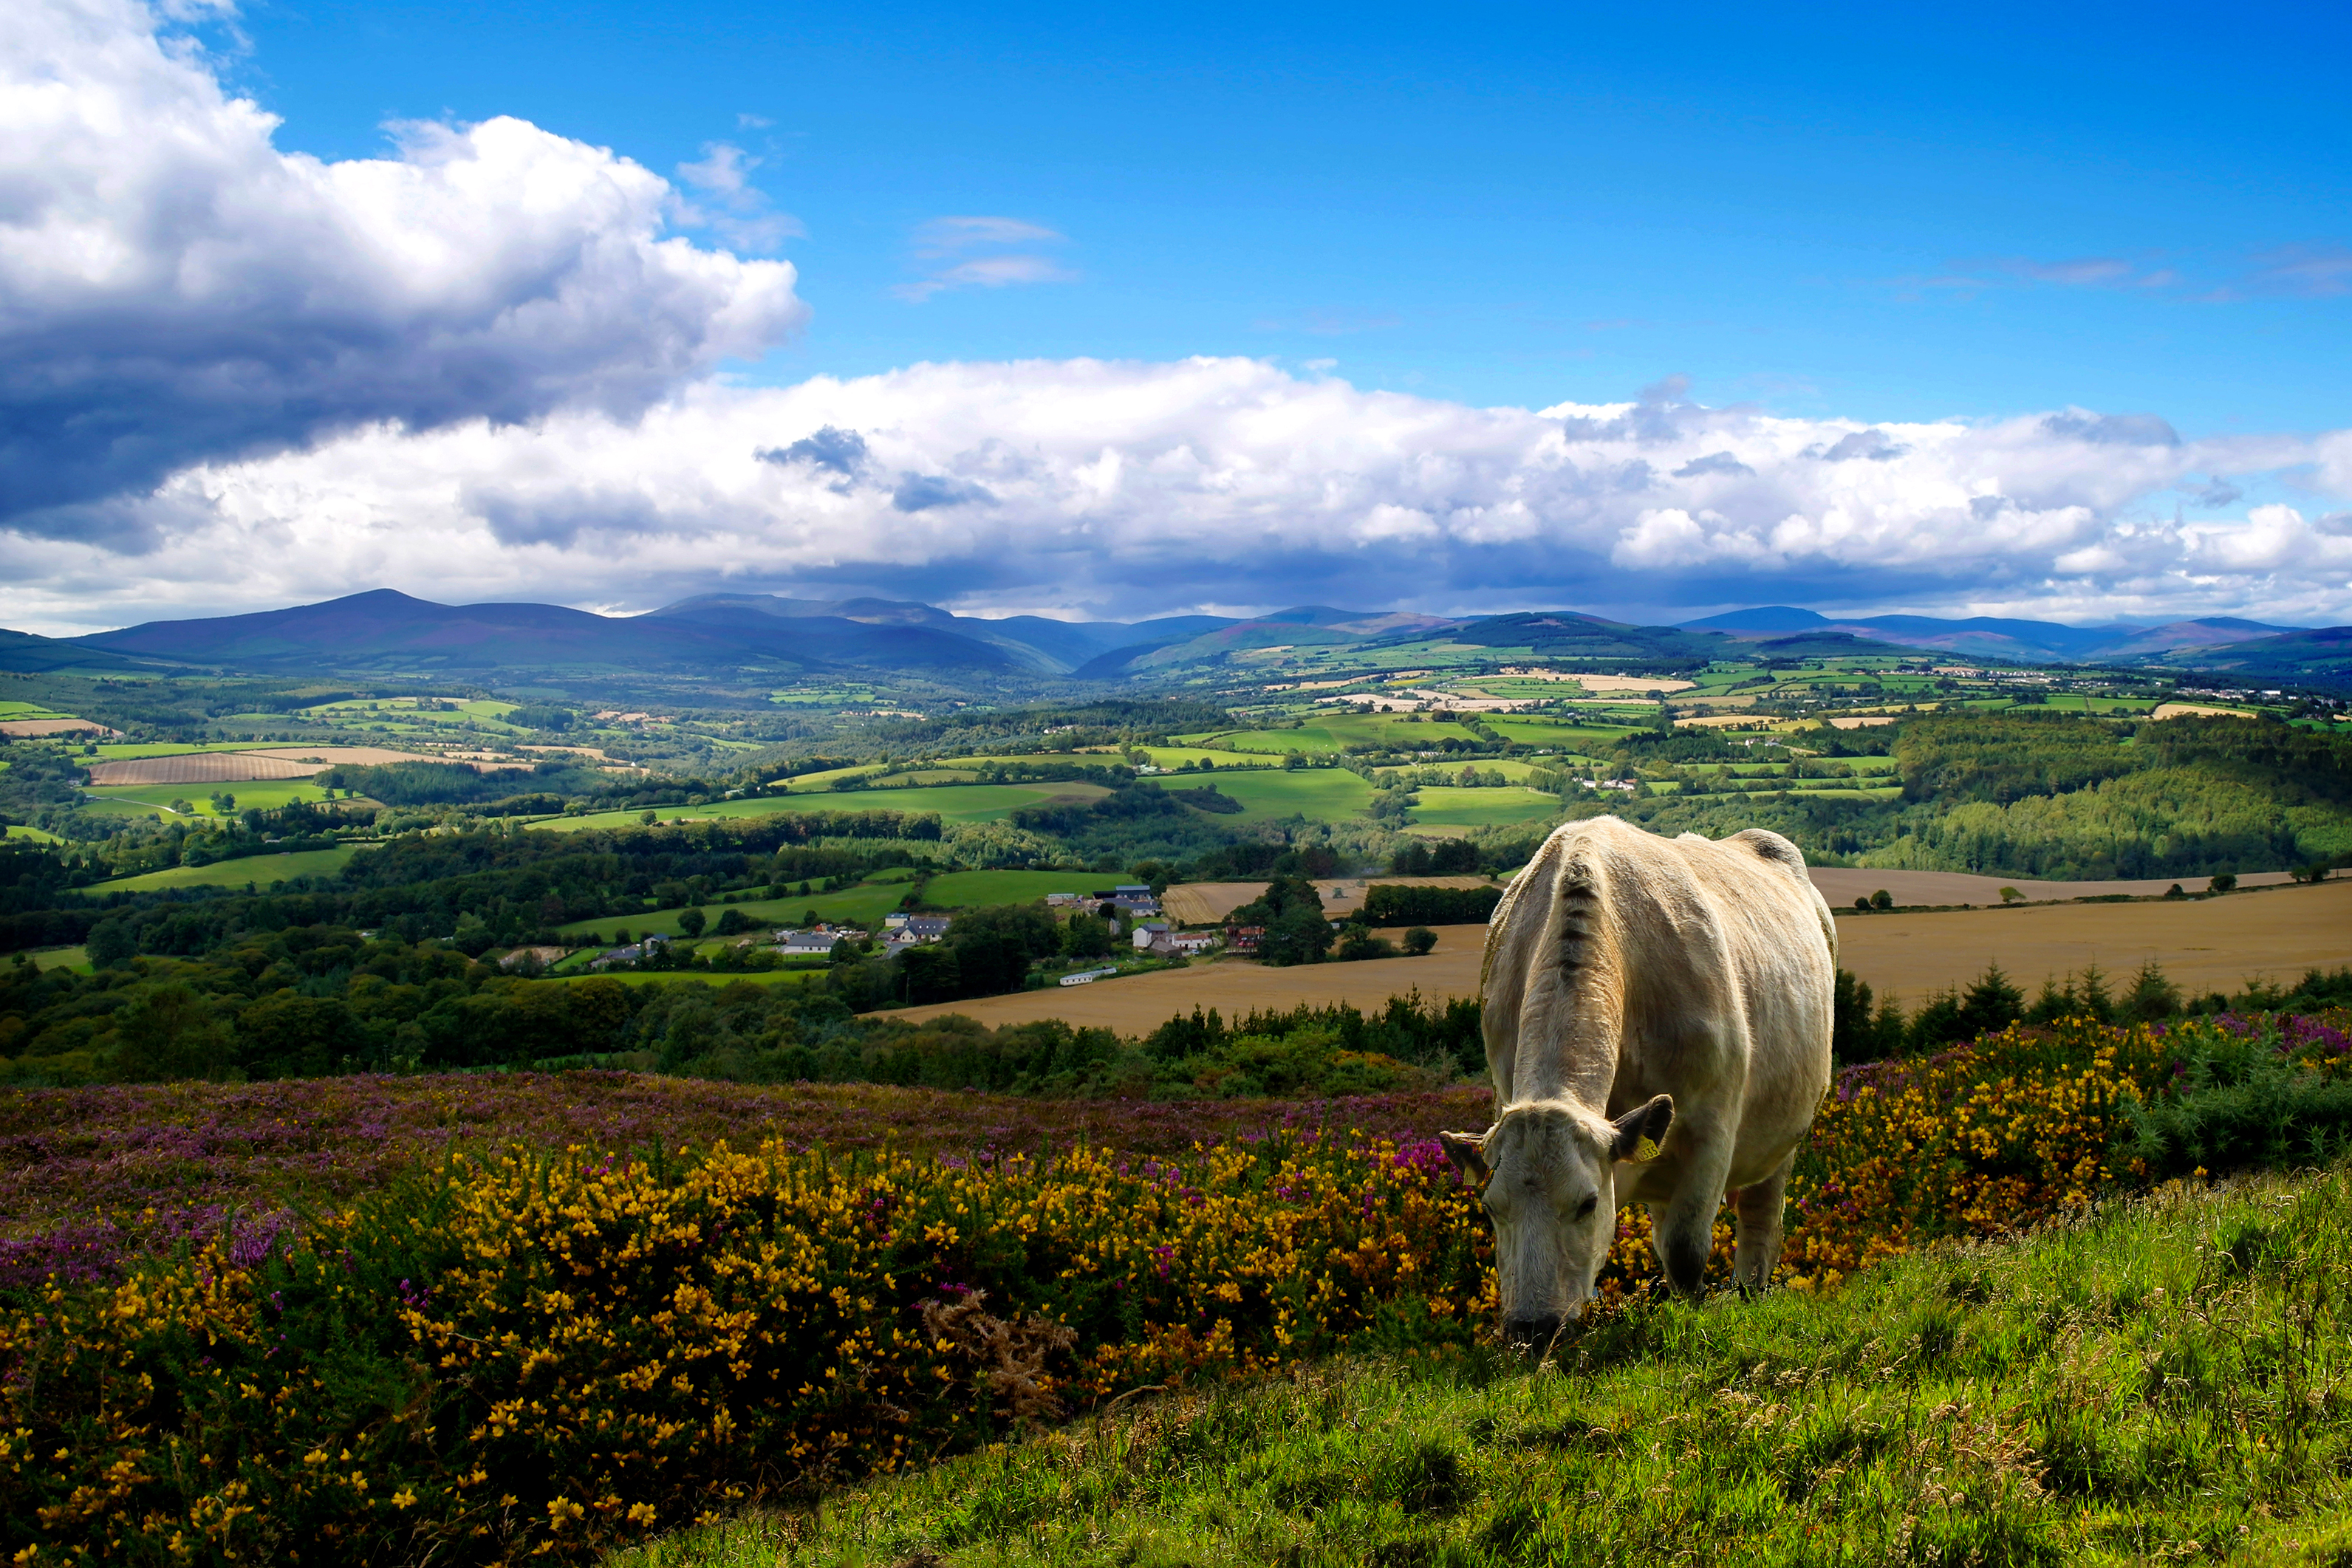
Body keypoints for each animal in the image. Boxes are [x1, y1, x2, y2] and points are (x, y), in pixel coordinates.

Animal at [1429, 808, 1834, 1354]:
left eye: (1588, 1203)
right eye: (1491, 1208)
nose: (1531, 1330)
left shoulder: (1711, 1127)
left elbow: (1685, 1251)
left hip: (1783, 1135)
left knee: (1760, 1213)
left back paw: (1751, 1288)